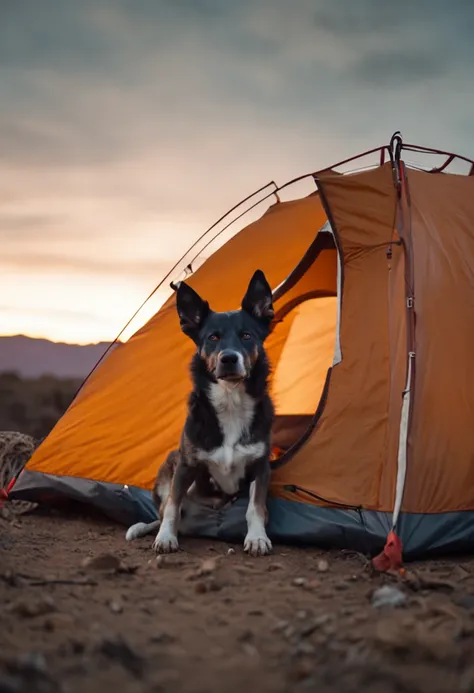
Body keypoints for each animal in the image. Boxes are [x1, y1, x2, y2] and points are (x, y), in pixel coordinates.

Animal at [126, 270, 274, 556]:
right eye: (212, 337)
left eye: (247, 335)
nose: (229, 358)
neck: (230, 401)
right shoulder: (186, 464)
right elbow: (172, 507)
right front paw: (165, 538)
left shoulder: (260, 466)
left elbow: (256, 508)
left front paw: (257, 537)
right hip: (170, 461)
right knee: (163, 511)